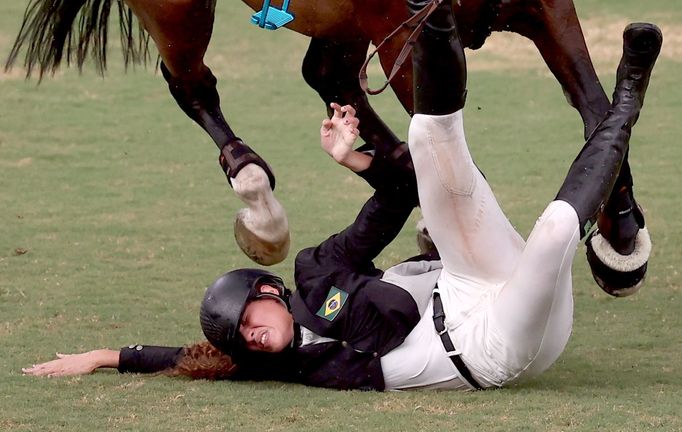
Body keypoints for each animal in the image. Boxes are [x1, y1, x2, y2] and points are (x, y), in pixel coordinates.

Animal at [5, 0, 644, 294]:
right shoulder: (405, 31)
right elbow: (442, 125)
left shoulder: (540, 5)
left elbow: (596, 106)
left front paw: (620, 241)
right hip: (179, 9)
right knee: (192, 85)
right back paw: (258, 198)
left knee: (328, 74)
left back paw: (395, 176)